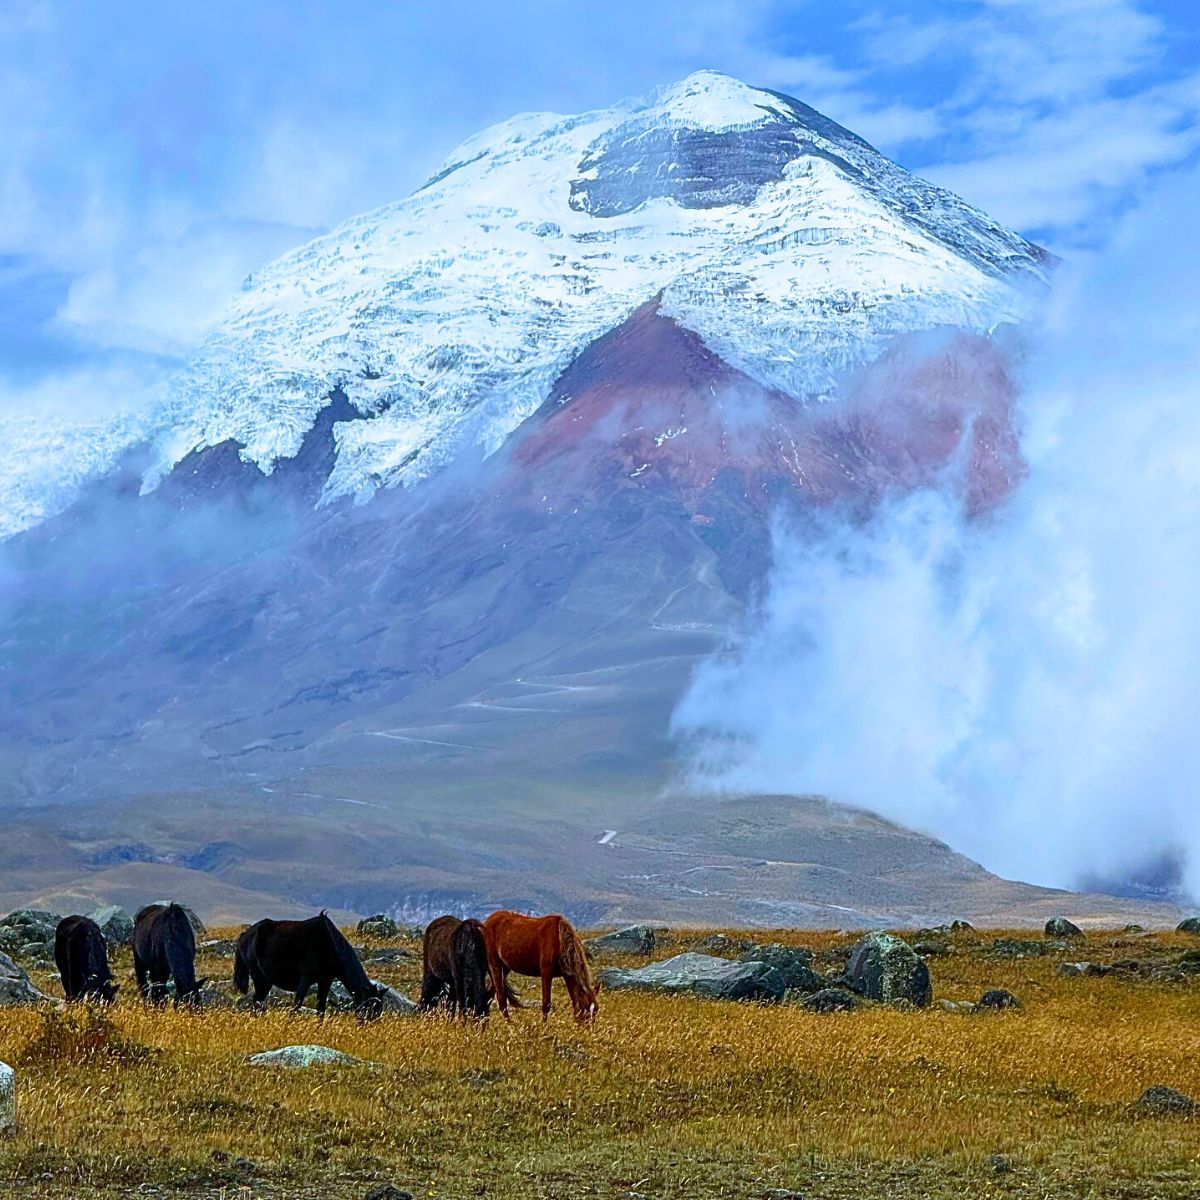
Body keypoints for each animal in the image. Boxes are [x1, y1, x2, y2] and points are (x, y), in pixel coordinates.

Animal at [231, 912, 386, 1017]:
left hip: (267, 980)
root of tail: (244, 936)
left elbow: (321, 1008)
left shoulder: (326, 981)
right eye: (368, 1009)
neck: (330, 944)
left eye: (377, 1012)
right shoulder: (305, 979)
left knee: (259, 1002)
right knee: (257, 1002)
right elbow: (296, 1006)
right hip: (259, 978)